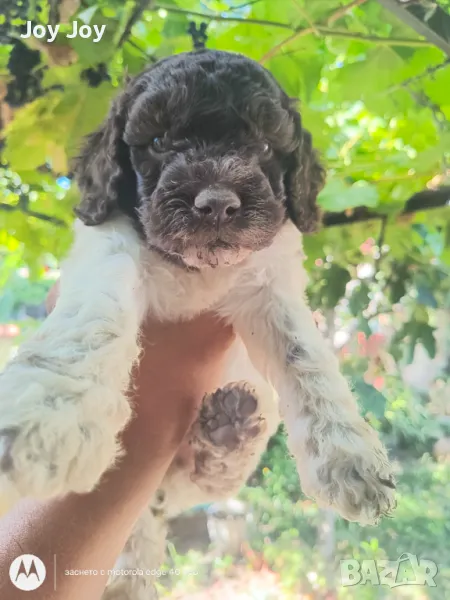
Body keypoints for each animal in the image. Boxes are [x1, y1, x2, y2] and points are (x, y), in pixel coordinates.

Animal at [0, 51, 394, 600]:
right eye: (159, 141)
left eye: (265, 146)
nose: (217, 203)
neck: (195, 271)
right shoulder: (108, 245)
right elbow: (93, 316)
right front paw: (51, 415)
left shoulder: (270, 282)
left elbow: (305, 357)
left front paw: (348, 455)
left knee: (196, 484)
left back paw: (225, 436)